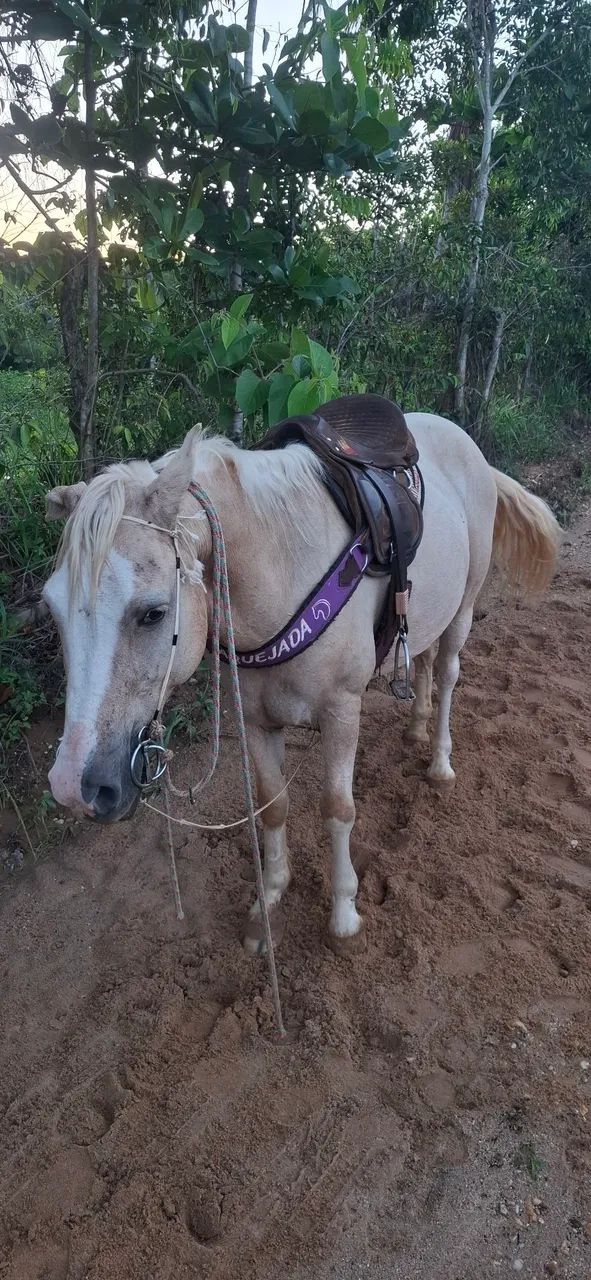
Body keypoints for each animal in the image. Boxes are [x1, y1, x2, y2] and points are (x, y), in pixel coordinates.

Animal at [42, 411, 561, 954]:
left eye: (153, 613)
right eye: (52, 608)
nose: (73, 787)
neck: (281, 574)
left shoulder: (342, 712)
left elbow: (338, 809)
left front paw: (344, 915)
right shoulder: (256, 721)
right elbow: (272, 804)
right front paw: (269, 899)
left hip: (464, 608)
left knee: (446, 675)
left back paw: (439, 761)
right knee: (420, 664)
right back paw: (415, 728)